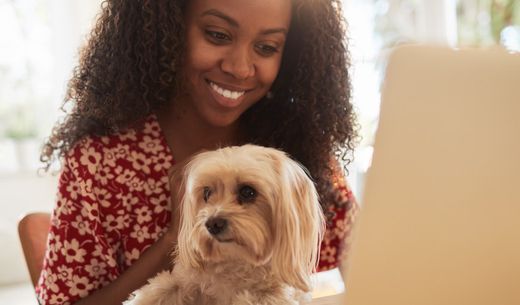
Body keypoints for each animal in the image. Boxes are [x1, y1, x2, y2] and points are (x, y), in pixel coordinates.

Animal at [126, 144, 324, 304]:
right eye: (206, 193)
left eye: (247, 192)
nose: (213, 224)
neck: (234, 261)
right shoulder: (186, 281)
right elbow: (161, 289)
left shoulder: (273, 295)